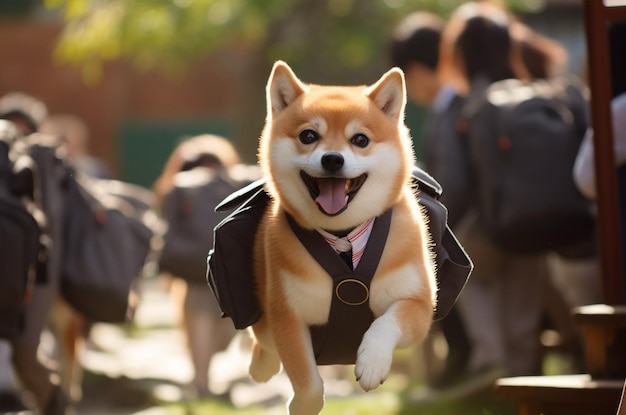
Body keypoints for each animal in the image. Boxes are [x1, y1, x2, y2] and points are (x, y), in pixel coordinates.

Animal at [249, 60, 434, 414]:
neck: (344, 235)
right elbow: (307, 382)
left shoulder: (418, 304)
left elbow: (385, 323)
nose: (333, 158)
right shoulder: (287, 315)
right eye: (308, 135)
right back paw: (261, 366)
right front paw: (304, 404)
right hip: (266, 322)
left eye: (360, 139)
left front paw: (372, 363)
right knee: (263, 341)